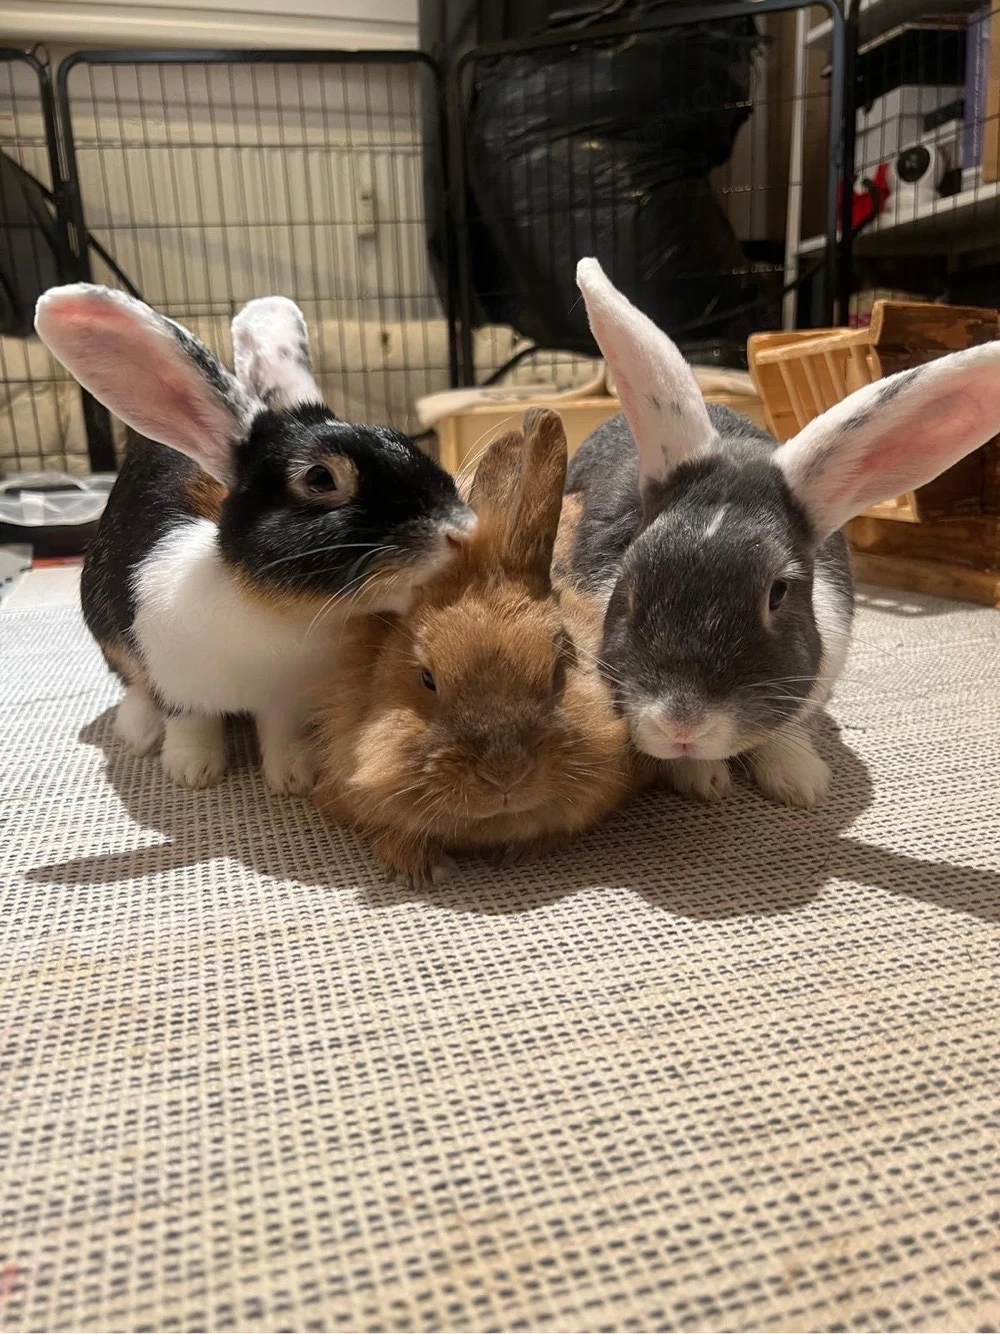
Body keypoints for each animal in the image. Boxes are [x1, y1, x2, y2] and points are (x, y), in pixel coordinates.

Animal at [34, 284, 474, 794]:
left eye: (401, 438)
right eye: (320, 478)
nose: (462, 531)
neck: (279, 612)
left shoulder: (287, 701)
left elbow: (280, 733)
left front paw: (294, 777)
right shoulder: (177, 683)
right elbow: (190, 722)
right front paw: (192, 772)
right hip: (108, 632)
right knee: (136, 686)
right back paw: (139, 732)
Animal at [565, 257, 1000, 809]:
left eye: (778, 593)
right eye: (631, 581)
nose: (681, 725)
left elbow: (785, 732)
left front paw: (801, 782)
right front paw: (702, 777)